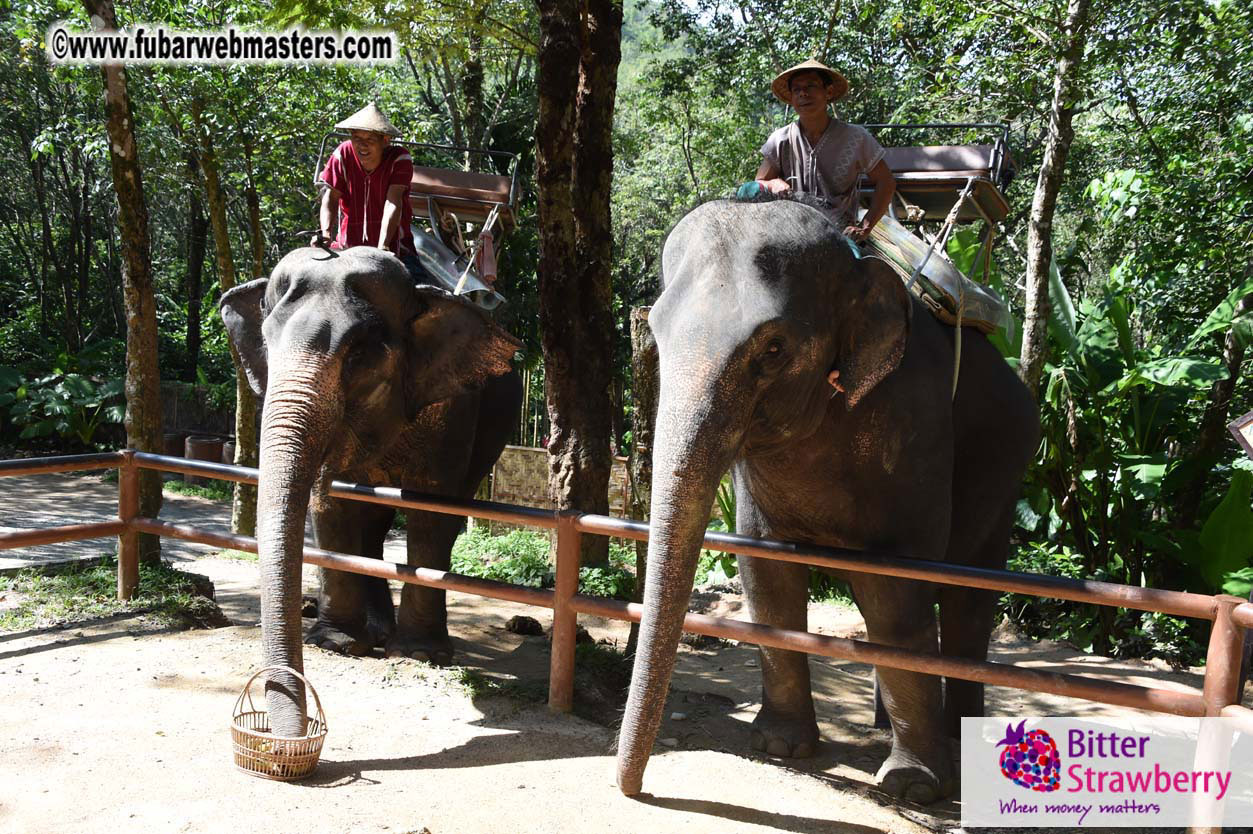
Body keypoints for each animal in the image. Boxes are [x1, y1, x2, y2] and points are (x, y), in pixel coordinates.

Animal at [219, 246, 522, 738]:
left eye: (360, 354)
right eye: (265, 344)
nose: (290, 733)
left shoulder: (454, 406)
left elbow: (431, 508)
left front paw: (420, 653)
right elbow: (332, 505)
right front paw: (338, 644)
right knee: (372, 522)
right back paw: (376, 632)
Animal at [615, 197, 1039, 803]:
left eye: (773, 348)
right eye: (655, 330)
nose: (634, 789)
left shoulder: (917, 424)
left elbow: (897, 588)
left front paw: (913, 787)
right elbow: (766, 574)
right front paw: (779, 746)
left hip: (1007, 466)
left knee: (967, 600)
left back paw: (957, 744)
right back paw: (886, 726)